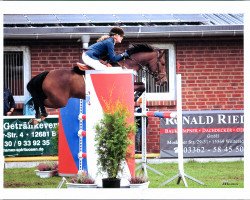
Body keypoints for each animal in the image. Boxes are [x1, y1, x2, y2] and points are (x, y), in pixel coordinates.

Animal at [26, 44, 168, 124]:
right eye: (162, 63)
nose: (164, 82)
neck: (126, 65)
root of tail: (48, 73)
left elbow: (142, 85)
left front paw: (135, 97)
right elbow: (141, 86)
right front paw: (133, 98)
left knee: (37, 99)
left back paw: (36, 117)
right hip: (59, 100)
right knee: (38, 100)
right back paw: (39, 116)